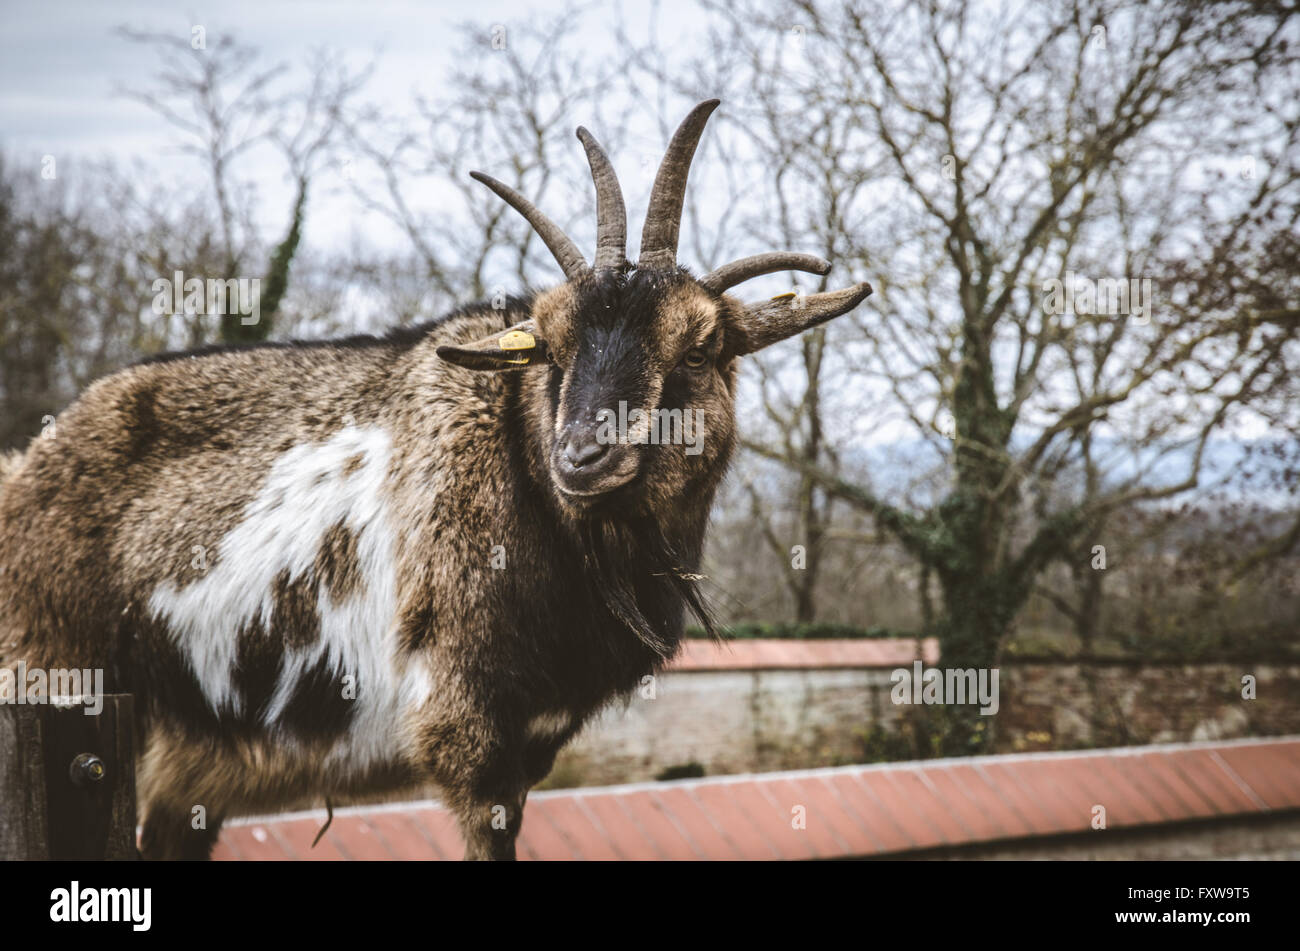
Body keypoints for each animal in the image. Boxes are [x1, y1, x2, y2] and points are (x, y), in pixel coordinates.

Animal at [2, 100, 873, 857]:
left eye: (698, 348)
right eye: (551, 347)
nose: (581, 458)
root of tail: (26, 469)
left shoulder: (528, 744)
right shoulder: (464, 731)